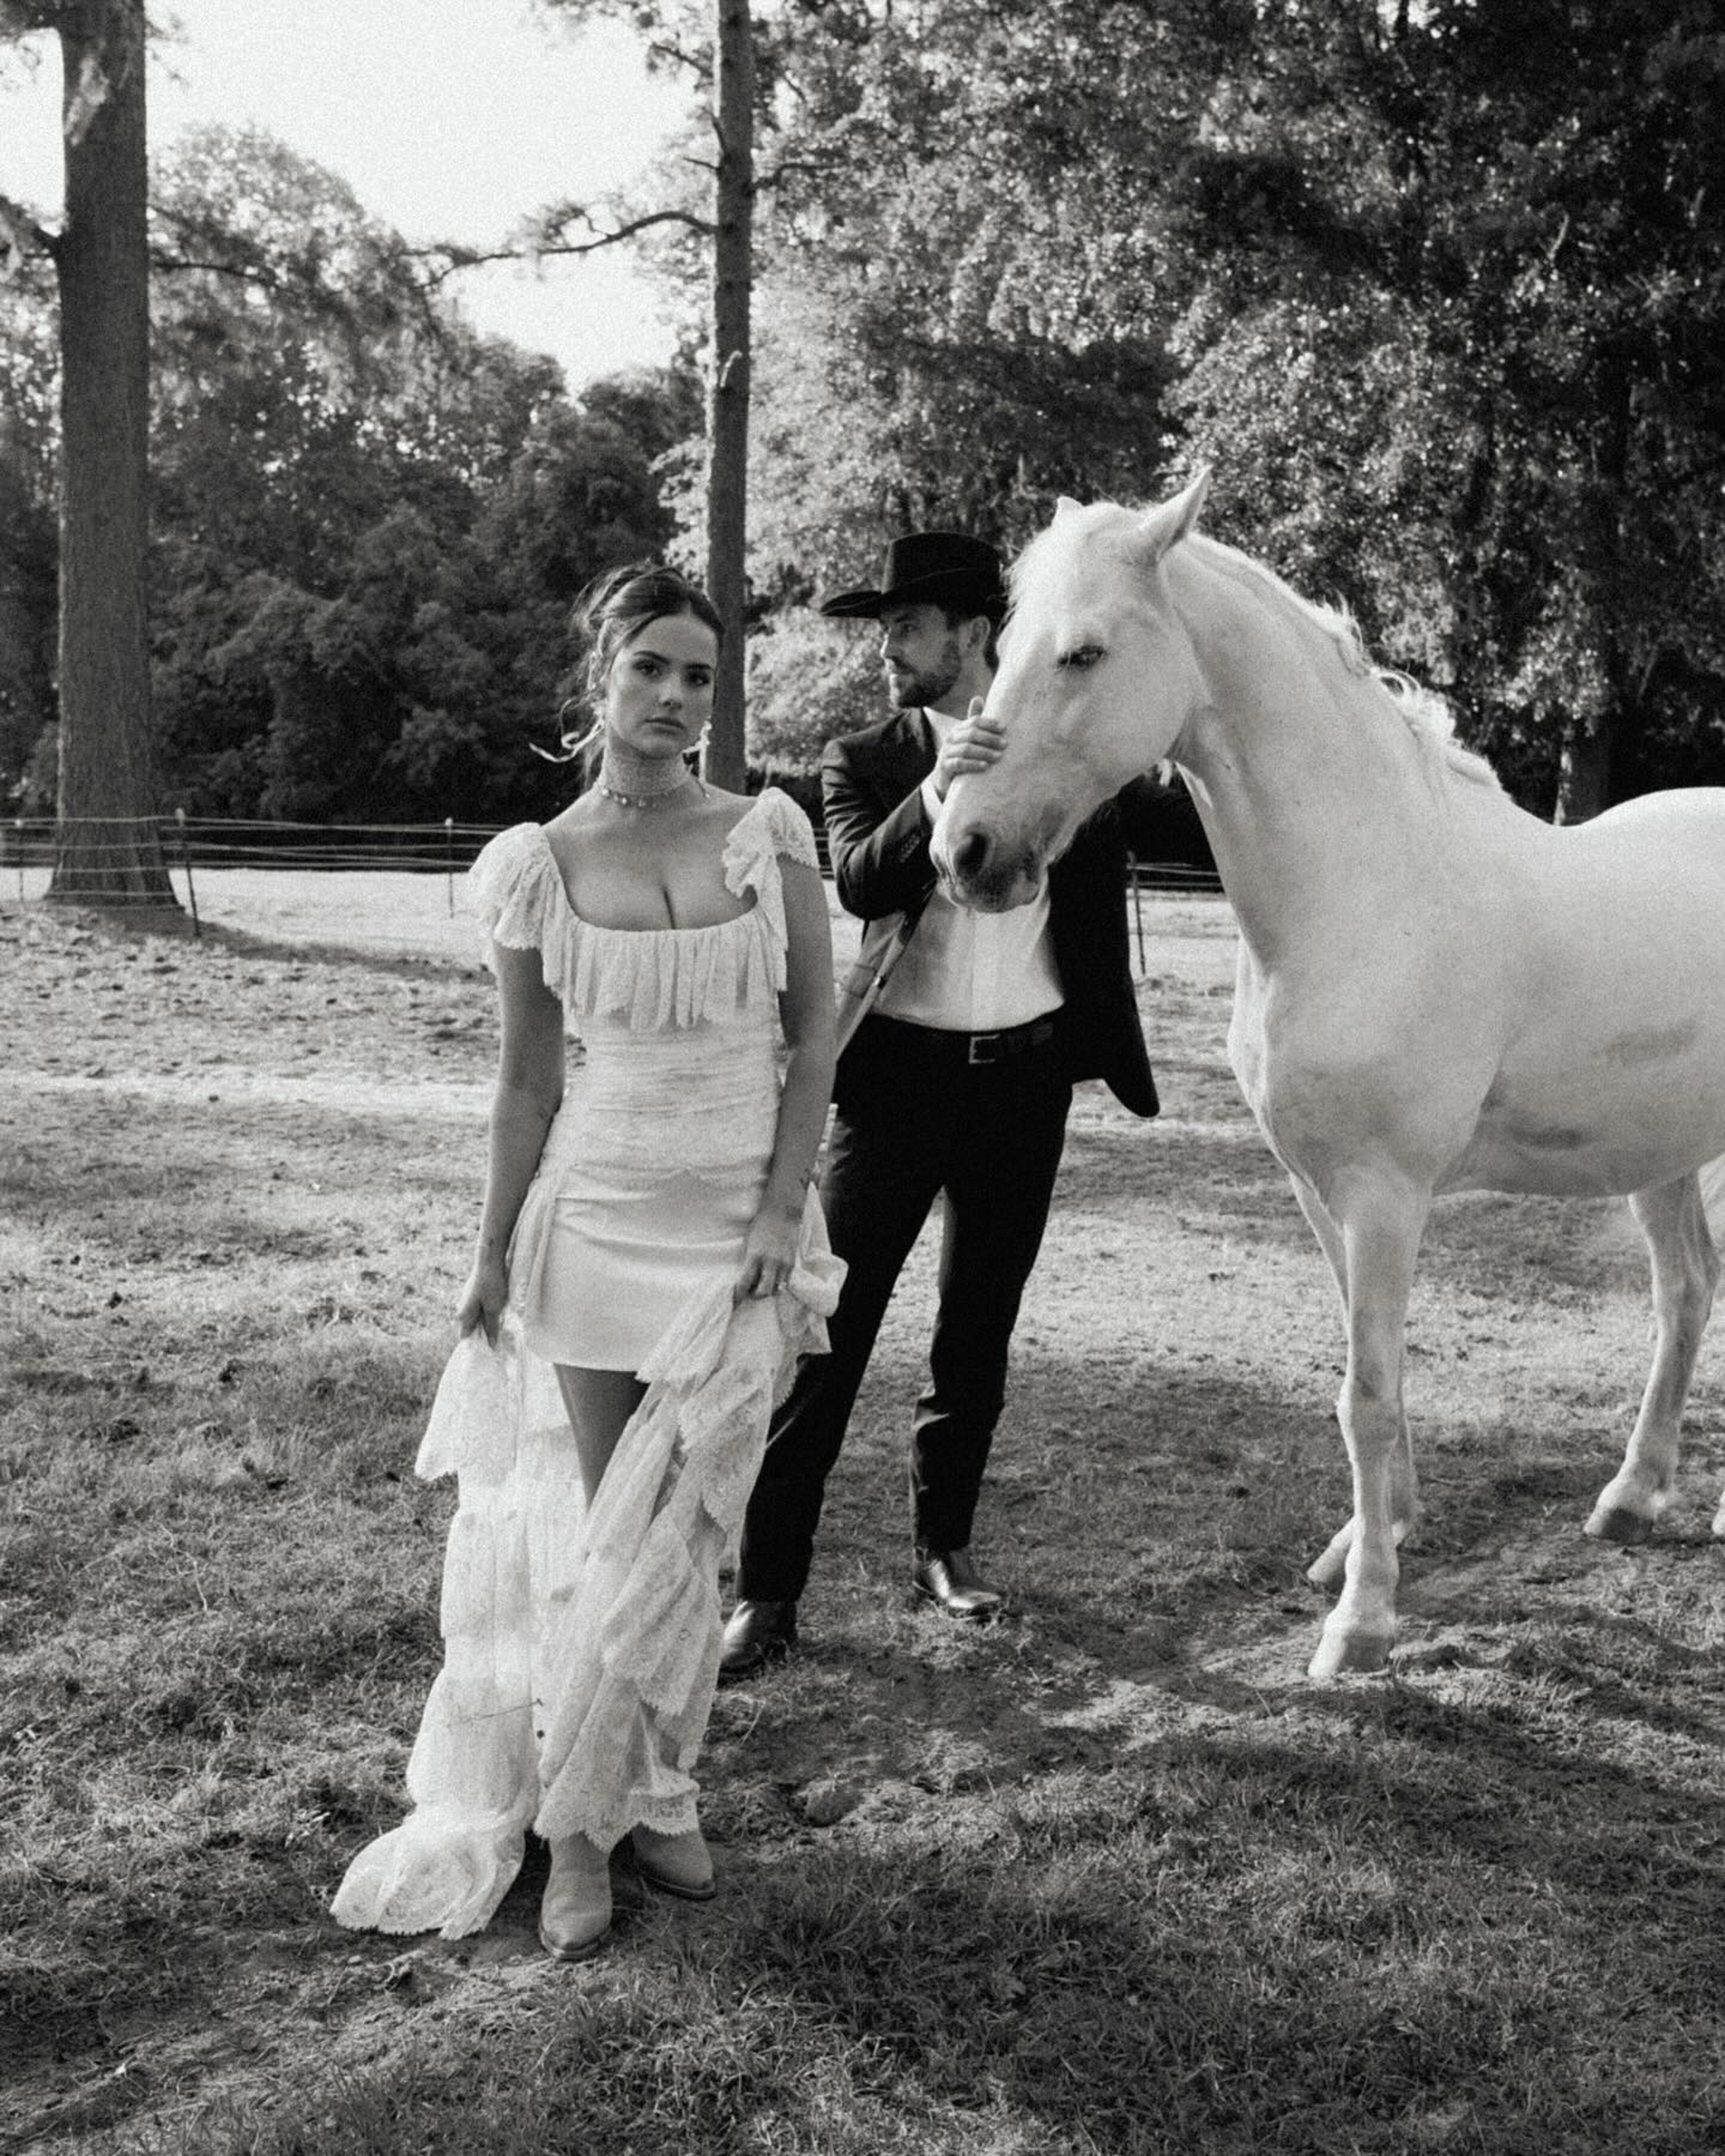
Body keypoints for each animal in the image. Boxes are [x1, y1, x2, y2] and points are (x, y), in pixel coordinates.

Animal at [932, 472, 1725, 1681]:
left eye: (1083, 653)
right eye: (1006, 645)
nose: (963, 853)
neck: (1364, 886)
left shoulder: (1383, 1195)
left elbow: (1368, 1393)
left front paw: (1360, 1621)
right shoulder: (1317, 1192)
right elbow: (1367, 1378)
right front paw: (1368, 1542)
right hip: (1659, 1153)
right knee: (1683, 1295)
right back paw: (1630, 1498)